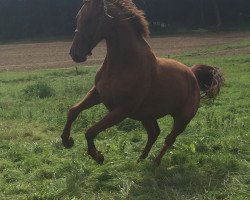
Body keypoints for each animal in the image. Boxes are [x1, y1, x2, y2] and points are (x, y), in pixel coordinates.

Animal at [61, 0, 224, 166]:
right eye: (78, 17)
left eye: (90, 19)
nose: (75, 53)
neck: (123, 65)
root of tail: (192, 73)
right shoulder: (98, 94)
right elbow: (73, 111)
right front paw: (67, 141)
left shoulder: (123, 109)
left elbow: (90, 131)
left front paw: (98, 156)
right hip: (146, 115)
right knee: (154, 133)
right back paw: (140, 159)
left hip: (182, 119)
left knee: (169, 139)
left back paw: (155, 162)